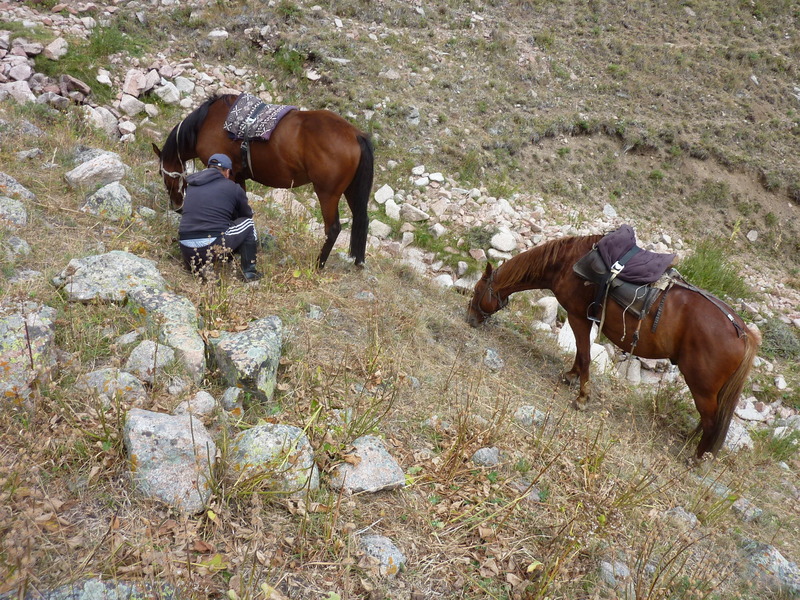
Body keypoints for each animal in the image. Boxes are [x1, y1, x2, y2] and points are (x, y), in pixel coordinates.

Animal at [152, 93, 374, 268]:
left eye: (163, 176)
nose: (177, 207)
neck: (206, 123)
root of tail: (355, 134)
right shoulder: (239, 177)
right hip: (351, 191)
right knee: (361, 220)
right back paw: (358, 262)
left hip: (327, 193)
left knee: (333, 228)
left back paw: (319, 264)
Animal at [468, 234, 764, 460]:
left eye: (476, 291)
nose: (470, 319)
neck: (567, 263)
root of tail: (743, 332)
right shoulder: (583, 319)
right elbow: (581, 353)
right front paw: (571, 376)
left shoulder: (578, 316)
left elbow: (585, 355)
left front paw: (582, 396)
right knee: (707, 419)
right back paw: (689, 442)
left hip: (701, 384)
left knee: (711, 421)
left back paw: (695, 457)